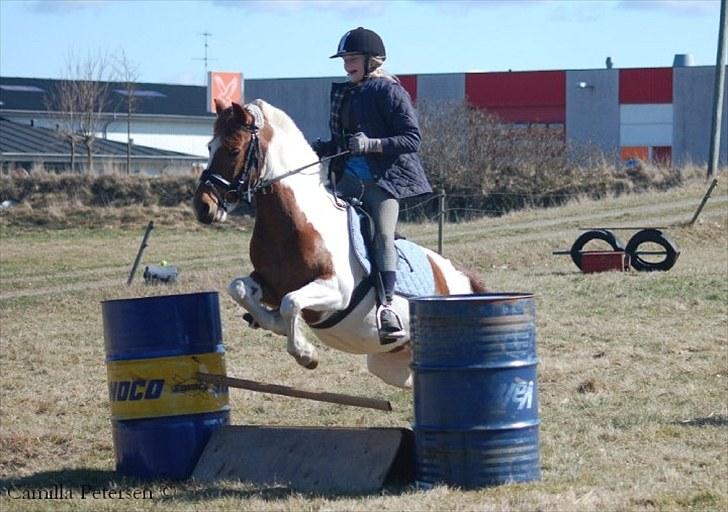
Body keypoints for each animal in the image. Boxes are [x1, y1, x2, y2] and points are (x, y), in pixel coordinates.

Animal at [192, 99, 484, 388]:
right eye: (209, 147)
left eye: (233, 150)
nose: (203, 207)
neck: (296, 222)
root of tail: (463, 279)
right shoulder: (269, 283)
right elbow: (239, 288)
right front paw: (275, 324)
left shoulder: (337, 291)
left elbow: (290, 302)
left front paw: (305, 353)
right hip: (390, 366)